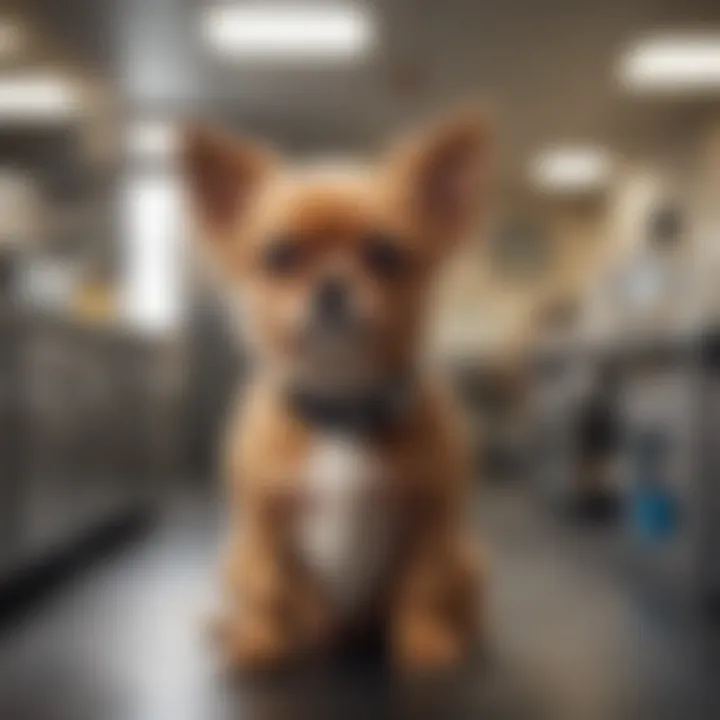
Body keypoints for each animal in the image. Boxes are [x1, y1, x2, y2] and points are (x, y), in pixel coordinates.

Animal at [181, 111, 490, 676]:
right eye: (279, 255)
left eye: (386, 254)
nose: (331, 285)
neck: (342, 410)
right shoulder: (261, 525)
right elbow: (266, 588)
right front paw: (259, 641)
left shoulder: (434, 522)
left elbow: (424, 587)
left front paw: (426, 642)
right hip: (234, 558)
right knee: (254, 596)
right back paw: (234, 628)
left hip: (469, 557)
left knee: (459, 597)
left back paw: (461, 630)